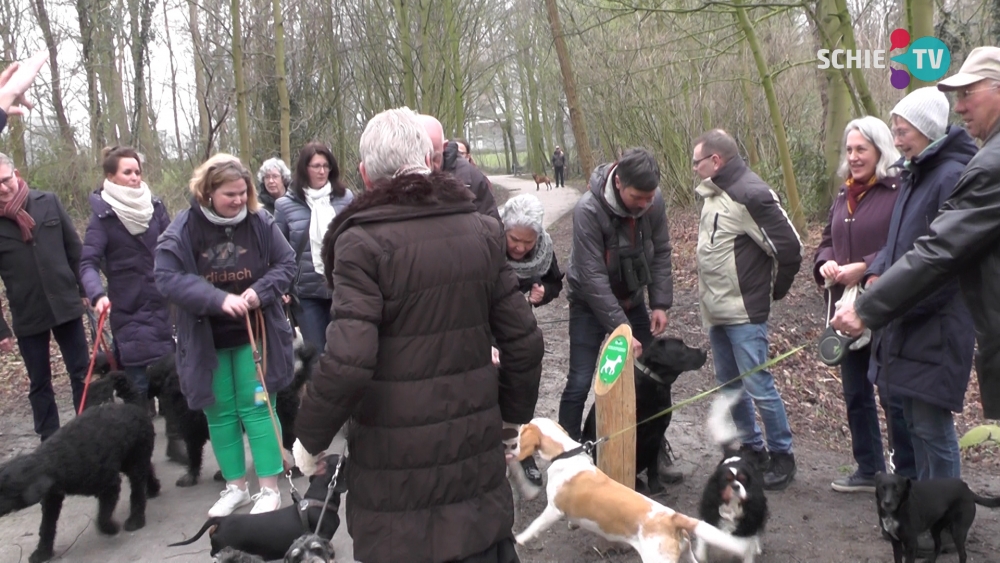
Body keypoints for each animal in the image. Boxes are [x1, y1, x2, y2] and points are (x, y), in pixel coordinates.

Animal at [0, 404, 158, 563]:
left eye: (5, 491)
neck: (55, 460)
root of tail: (138, 410)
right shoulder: (52, 499)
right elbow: (46, 527)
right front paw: (42, 552)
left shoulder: (110, 486)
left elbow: (102, 517)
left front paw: (111, 528)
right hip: (128, 462)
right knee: (148, 470)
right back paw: (153, 489)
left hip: (135, 462)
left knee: (137, 491)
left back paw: (136, 520)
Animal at [512, 418, 752, 563]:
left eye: (525, 427)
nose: (517, 428)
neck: (566, 453)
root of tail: (673, 518)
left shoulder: (552, 510)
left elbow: (535, 526)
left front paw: (520, 539)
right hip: (686, 556)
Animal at [580, 340, 712, 494]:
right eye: (681, 347)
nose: (704, 351)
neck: (655, 384)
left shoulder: (658, 433)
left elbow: (653, 466)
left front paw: (655, 486)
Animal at [700, 392, 768, 563]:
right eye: (726, 480)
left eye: (743, 480)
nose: (736, 486)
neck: (731, 507)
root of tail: (733, 453)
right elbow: (702, 545)